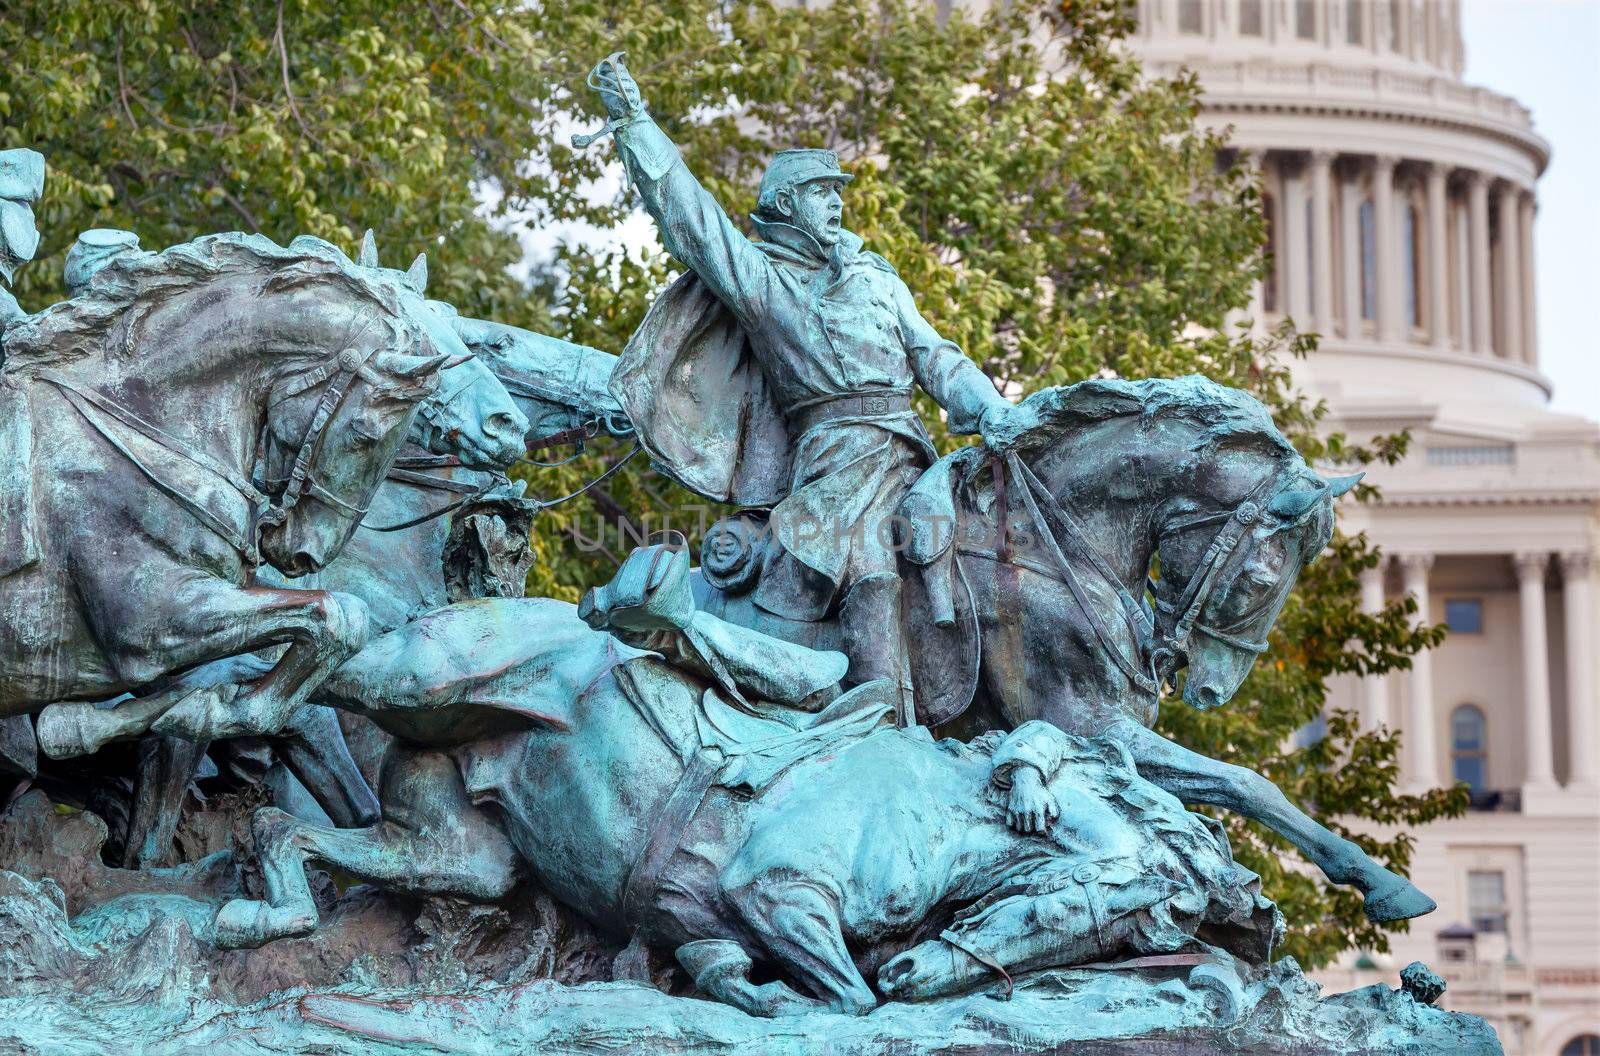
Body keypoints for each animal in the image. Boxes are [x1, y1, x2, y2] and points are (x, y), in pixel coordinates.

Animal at [1, 236, 464, 752]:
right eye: (365, 434)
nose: (309, 554)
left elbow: (342, 619)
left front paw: (195, 708)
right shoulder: (147, 619)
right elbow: (335, 615)